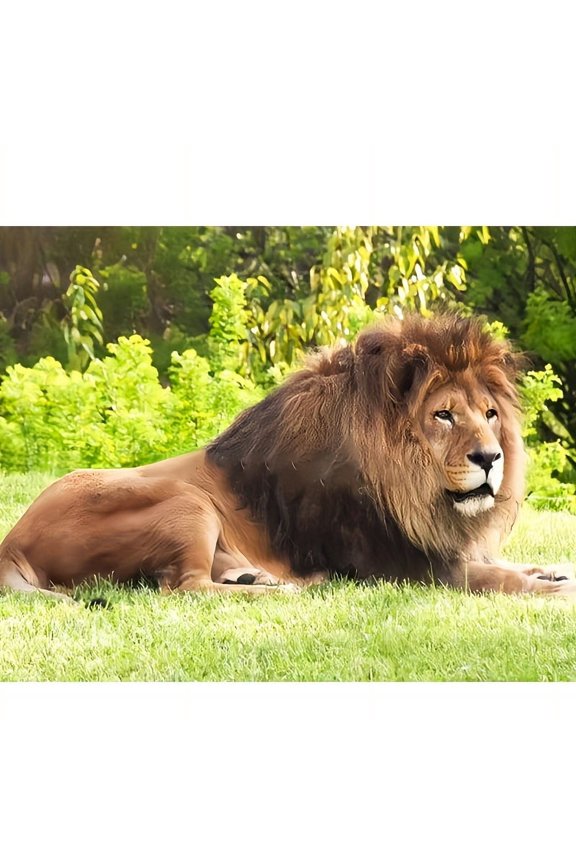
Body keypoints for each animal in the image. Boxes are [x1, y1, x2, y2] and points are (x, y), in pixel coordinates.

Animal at [0, 313, 574, 600]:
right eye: (444, 416)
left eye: (491, 414)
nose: (490, 457)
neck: (414, 487)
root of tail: (12, 542)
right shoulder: (403, 566)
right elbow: (498, 578)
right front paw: (552, 593)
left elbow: (508, 563)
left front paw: (555, 571)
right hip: (185, 498)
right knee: (183, 588)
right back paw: (285, 591)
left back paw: (258, 578)